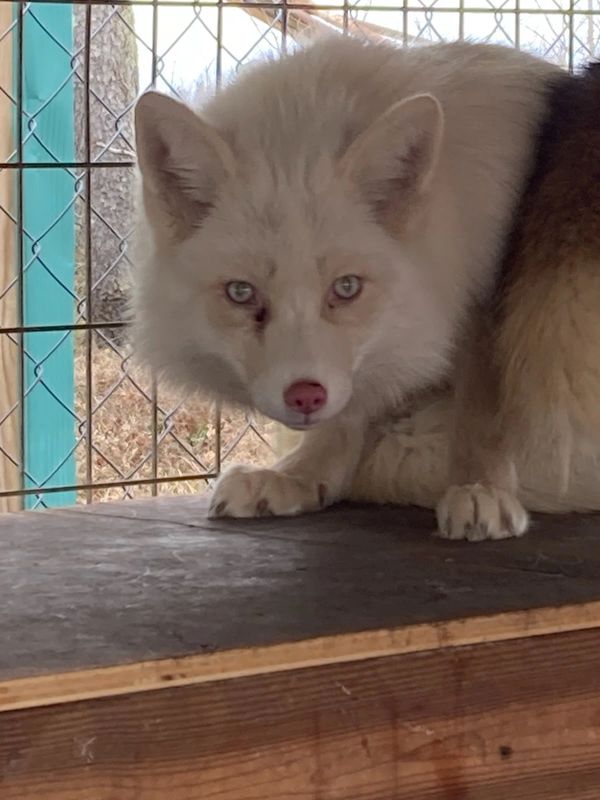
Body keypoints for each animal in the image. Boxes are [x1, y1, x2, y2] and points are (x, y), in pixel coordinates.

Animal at [133, 36, 599, 541]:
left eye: (347, 287)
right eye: (241, 293)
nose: (305, 397)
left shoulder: (488, 296)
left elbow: (483, 411)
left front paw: (480, 487)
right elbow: (348, 413)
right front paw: (301, 475)